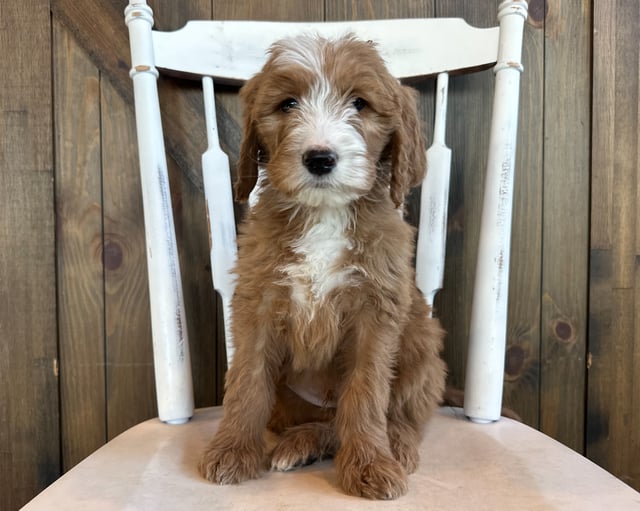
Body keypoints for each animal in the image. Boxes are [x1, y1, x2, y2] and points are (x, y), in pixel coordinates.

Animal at [199, 34, 444, 502]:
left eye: (360, 104)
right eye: (288, 104)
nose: (320, 158)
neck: (324, 213)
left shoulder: (377, 310)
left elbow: (366, 391)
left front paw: (369, 465)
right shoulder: (257, 301)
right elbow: (246, 380)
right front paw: (233, 450)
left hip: (423, 343)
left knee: (396, 412)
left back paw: (395, 445)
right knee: (318, 420)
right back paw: (300, 443)